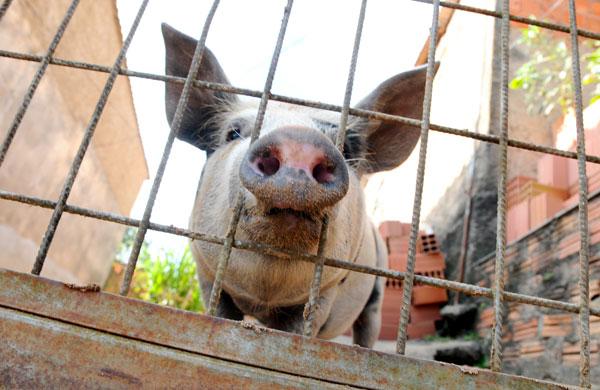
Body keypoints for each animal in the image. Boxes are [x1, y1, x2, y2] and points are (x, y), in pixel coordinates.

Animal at [161, 24, 432, 348]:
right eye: (234, 132)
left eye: (347, 147)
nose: (299, 139)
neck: (264, 298)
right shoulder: (205, 270)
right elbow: (220, 314)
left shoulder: (326, 290)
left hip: (378, 281)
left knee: (368, 324)